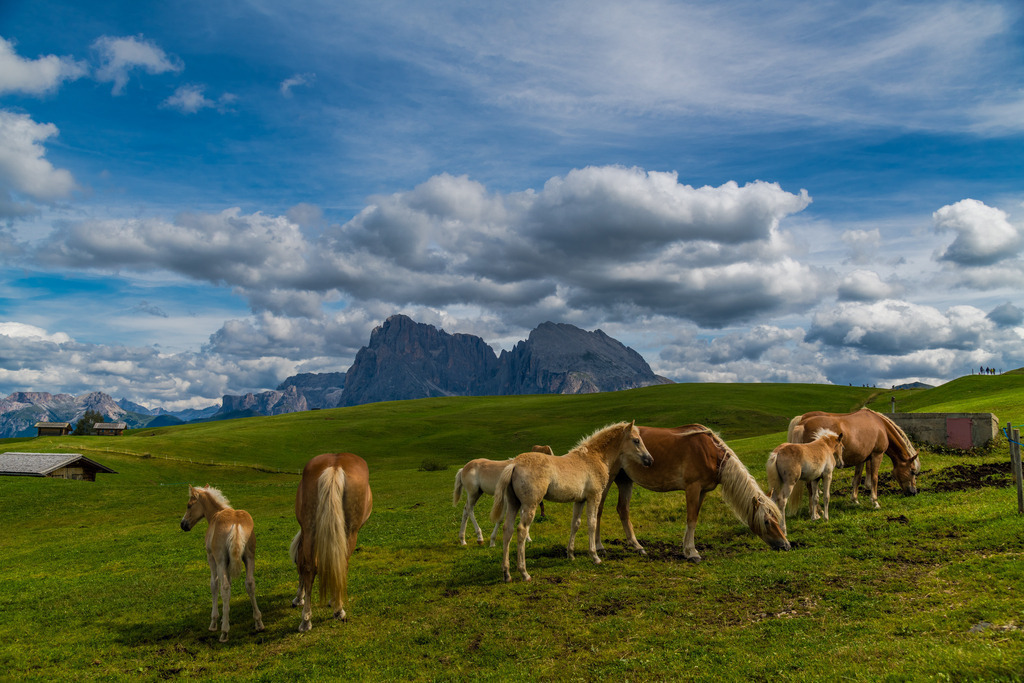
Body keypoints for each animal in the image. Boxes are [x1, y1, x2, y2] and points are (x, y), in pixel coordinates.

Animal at [179, 485, 264, 642]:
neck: (215, 514)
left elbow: (214, 585)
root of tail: (235, 524)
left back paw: (224, 632)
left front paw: (214, 622)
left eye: (189, 505)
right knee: (250, 583)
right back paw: (258, 622)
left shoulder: (212, 558)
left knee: (224, 588)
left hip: (220, 560)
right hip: (249, 557)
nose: (183, 524)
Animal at [292, 452, 373, 631]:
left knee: (310, 568)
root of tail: (335, 466)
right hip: (350, 533)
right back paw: (338, 610)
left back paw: (306, 620)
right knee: (341, 565)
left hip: (310, 529)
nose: (298, 599)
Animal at [490, 421, 653, 582]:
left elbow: (575, 524)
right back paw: (524, 573)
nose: (650, 460)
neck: (595, 457)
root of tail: (514, 464)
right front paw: (595, 556)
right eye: (636, 440)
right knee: (522, 530)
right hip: (530, 505)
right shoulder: (594, 497)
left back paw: (507, 573)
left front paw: (571, 554)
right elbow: (592, 523)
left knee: (508, 529)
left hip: (514, 503)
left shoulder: (579, 500)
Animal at [596, 425, 790, 562]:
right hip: (608, 480)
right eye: (766, 521)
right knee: (598, 510)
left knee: (623, 510)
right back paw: (599, 547)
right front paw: (692, 553)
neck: (711, 453)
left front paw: (687, 549)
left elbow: (694, 518)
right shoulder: (692, 488)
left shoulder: (702, 491)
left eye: (777, 518)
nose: (786, 545)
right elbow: (691, 519)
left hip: (625, 480)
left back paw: (637, 547)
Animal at [787, 408, 919, 508]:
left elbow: (857, 478)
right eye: (912, 472)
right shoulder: (877, 455)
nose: (914, 492)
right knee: (810, 486)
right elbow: (874, 478)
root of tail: (803, 424)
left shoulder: (861, 459)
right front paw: (875, 502)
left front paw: (855, 500)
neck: (880, 426)